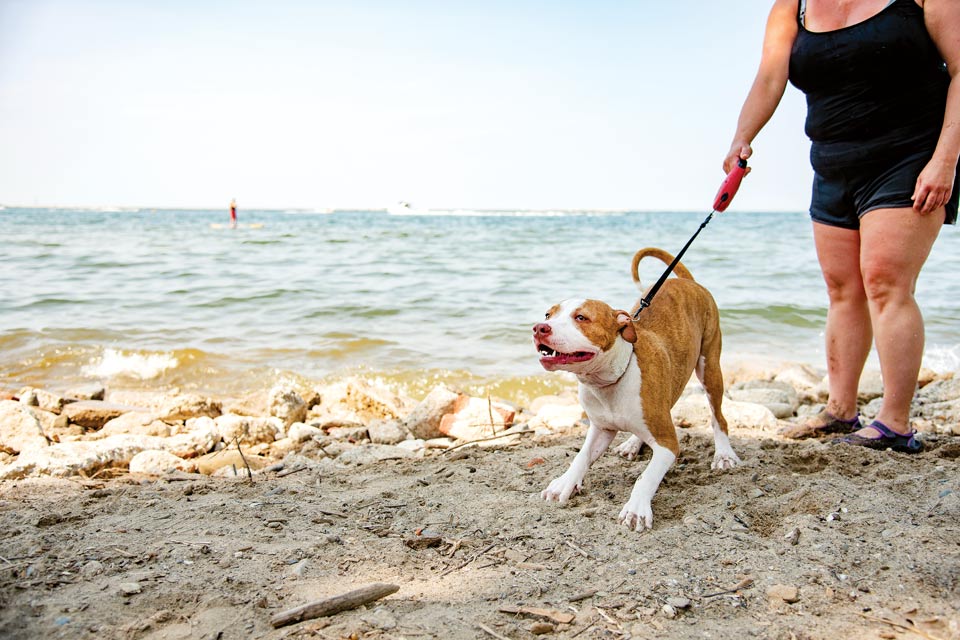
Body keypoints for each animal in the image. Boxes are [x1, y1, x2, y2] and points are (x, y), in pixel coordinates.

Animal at [528, 248, 740, 532]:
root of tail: (687, 282)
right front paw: (564, 482)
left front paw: (636, 508)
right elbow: (581, 457)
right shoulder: (601, 428)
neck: (608, 381)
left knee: (718, 417)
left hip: (710, 368)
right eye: (548, 315)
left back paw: (724, 455)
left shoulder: (668, 444)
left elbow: (646, 477)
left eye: (581, 318)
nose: (540, 328)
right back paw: (632, 443)